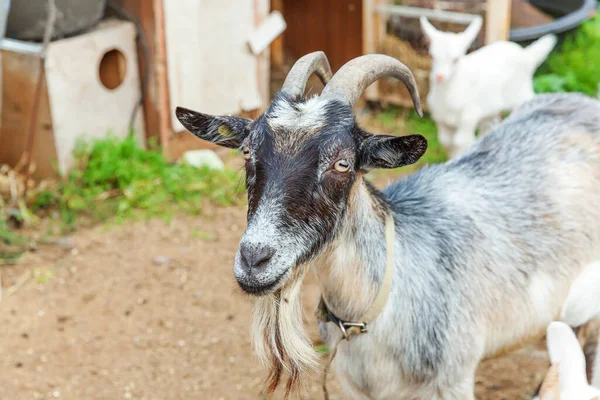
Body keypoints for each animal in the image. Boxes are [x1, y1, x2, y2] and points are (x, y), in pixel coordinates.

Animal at [420, 16, 556, 158]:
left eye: (455, 59)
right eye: (432, 56)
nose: (439, 77)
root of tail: (527, 55)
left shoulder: (468, 119)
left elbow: (461, 143)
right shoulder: (441, 121)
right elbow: (446, 143)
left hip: (521, 94)